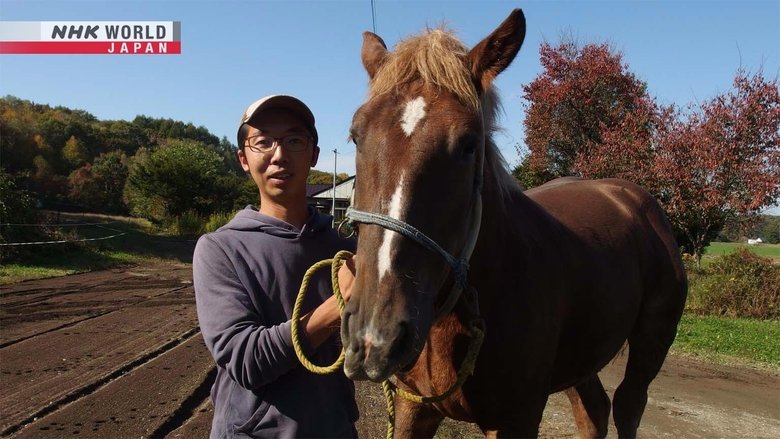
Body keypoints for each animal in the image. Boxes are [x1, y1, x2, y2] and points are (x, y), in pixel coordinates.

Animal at [340, 9, 687, 438]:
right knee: (593, 410)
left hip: (652, 341)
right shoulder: (412, 408)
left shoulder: (517, 418)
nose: (375, 337)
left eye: (469, 144)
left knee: (627, 405)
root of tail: (632, 196)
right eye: (356, 135)